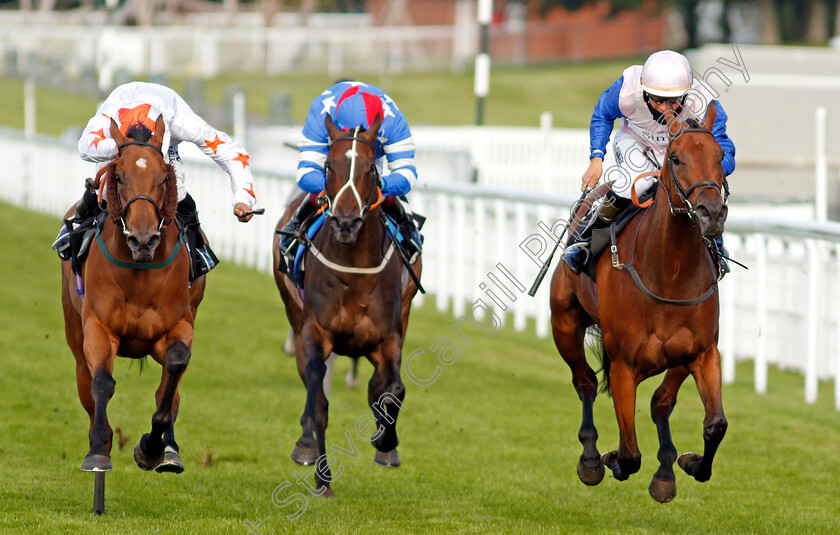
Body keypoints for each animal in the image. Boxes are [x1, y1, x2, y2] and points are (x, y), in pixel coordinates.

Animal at [60, 117, 204, 478]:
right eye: (119, 176)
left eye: (163, 177)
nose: (143, 240)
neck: (139, 273)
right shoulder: (99, 328)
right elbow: (102, 383)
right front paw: (98, 450)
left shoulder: (176, 327)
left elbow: (175, 368)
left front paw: (152, 448)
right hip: (74, 334)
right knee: (86, 382)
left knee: (169, 387)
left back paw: (169, 450)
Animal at [274, 113, 420, 498]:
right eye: (328, 165)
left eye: (370, 168)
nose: (345, 221)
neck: (354, 270)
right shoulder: (314, 333)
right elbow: (319, 401)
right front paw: (321, 476)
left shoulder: (389, 337)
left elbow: (393, 391)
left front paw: (386, 444)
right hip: (295, 317)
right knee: (311, 385)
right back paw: (307, 444)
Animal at [552, 104, 728, 502]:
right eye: (675, 158)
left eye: (720, 157)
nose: (711, 213)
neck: (669, 271)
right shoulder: (623, 365)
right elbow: (630, 453)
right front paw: (610, 459)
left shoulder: (704, 352)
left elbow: (715, 424)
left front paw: (690, 462)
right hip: (564, 323)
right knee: (585, 381)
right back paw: (590, 459)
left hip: (678, 359)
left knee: (661, 401)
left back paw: (665, 472)